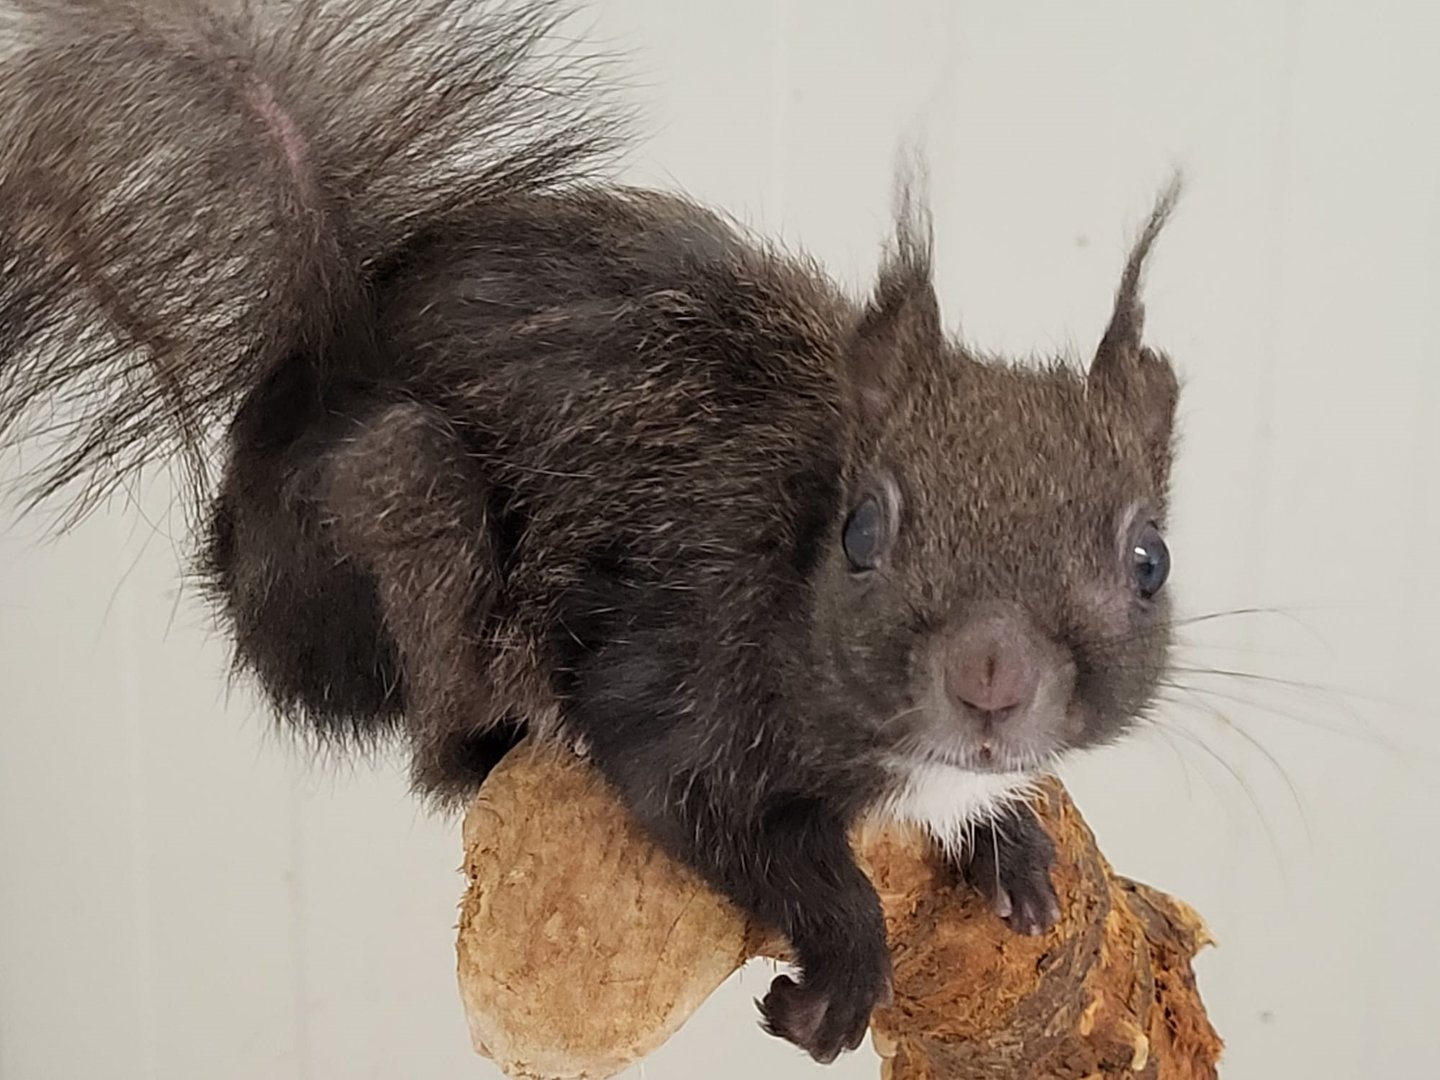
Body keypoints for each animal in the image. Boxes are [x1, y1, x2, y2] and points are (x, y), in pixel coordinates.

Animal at [0, 0, 1184, 1064]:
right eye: (861, 533)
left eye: (1151, 559)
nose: (991, 676)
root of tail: (319, 366)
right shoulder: (680, 678)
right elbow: (726, 821)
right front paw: (847, 961)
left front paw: (1012, 843)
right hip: (398, 501)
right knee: (441, 739)